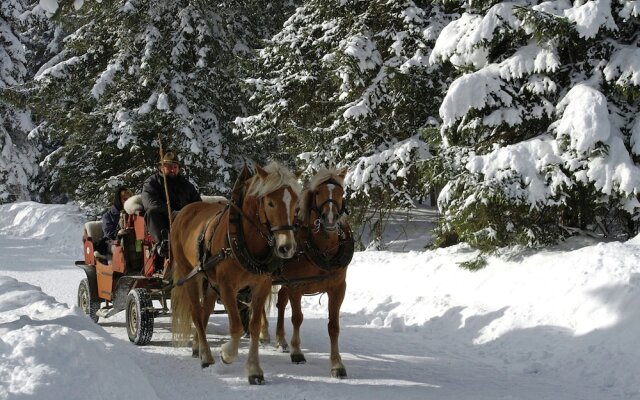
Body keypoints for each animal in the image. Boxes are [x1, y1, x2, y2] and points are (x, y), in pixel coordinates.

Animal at [170, 162, 300, 384]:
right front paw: (226, 354)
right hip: (190, 275)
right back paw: (206, 356)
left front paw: (254, 370)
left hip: (210, 281)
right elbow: (237, 327)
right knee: (196, 313)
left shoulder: (261, 285)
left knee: (204, 312)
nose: (286, 247)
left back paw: (197, 347)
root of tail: (184, 211)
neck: (243, 238)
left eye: (296, 204)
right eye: (270, 203)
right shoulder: (227, 287)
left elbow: (254, 326)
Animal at [262, 166, 356, 378]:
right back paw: (263, 333)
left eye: (341, 193)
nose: (330, 219)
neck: (323, 248)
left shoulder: (338, 288)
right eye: (318, 192)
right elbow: (297, 318)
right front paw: (297, 352)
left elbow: (333, 326)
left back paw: (281, 340)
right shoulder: (297, 285)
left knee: (280, 302)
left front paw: (337, 364)